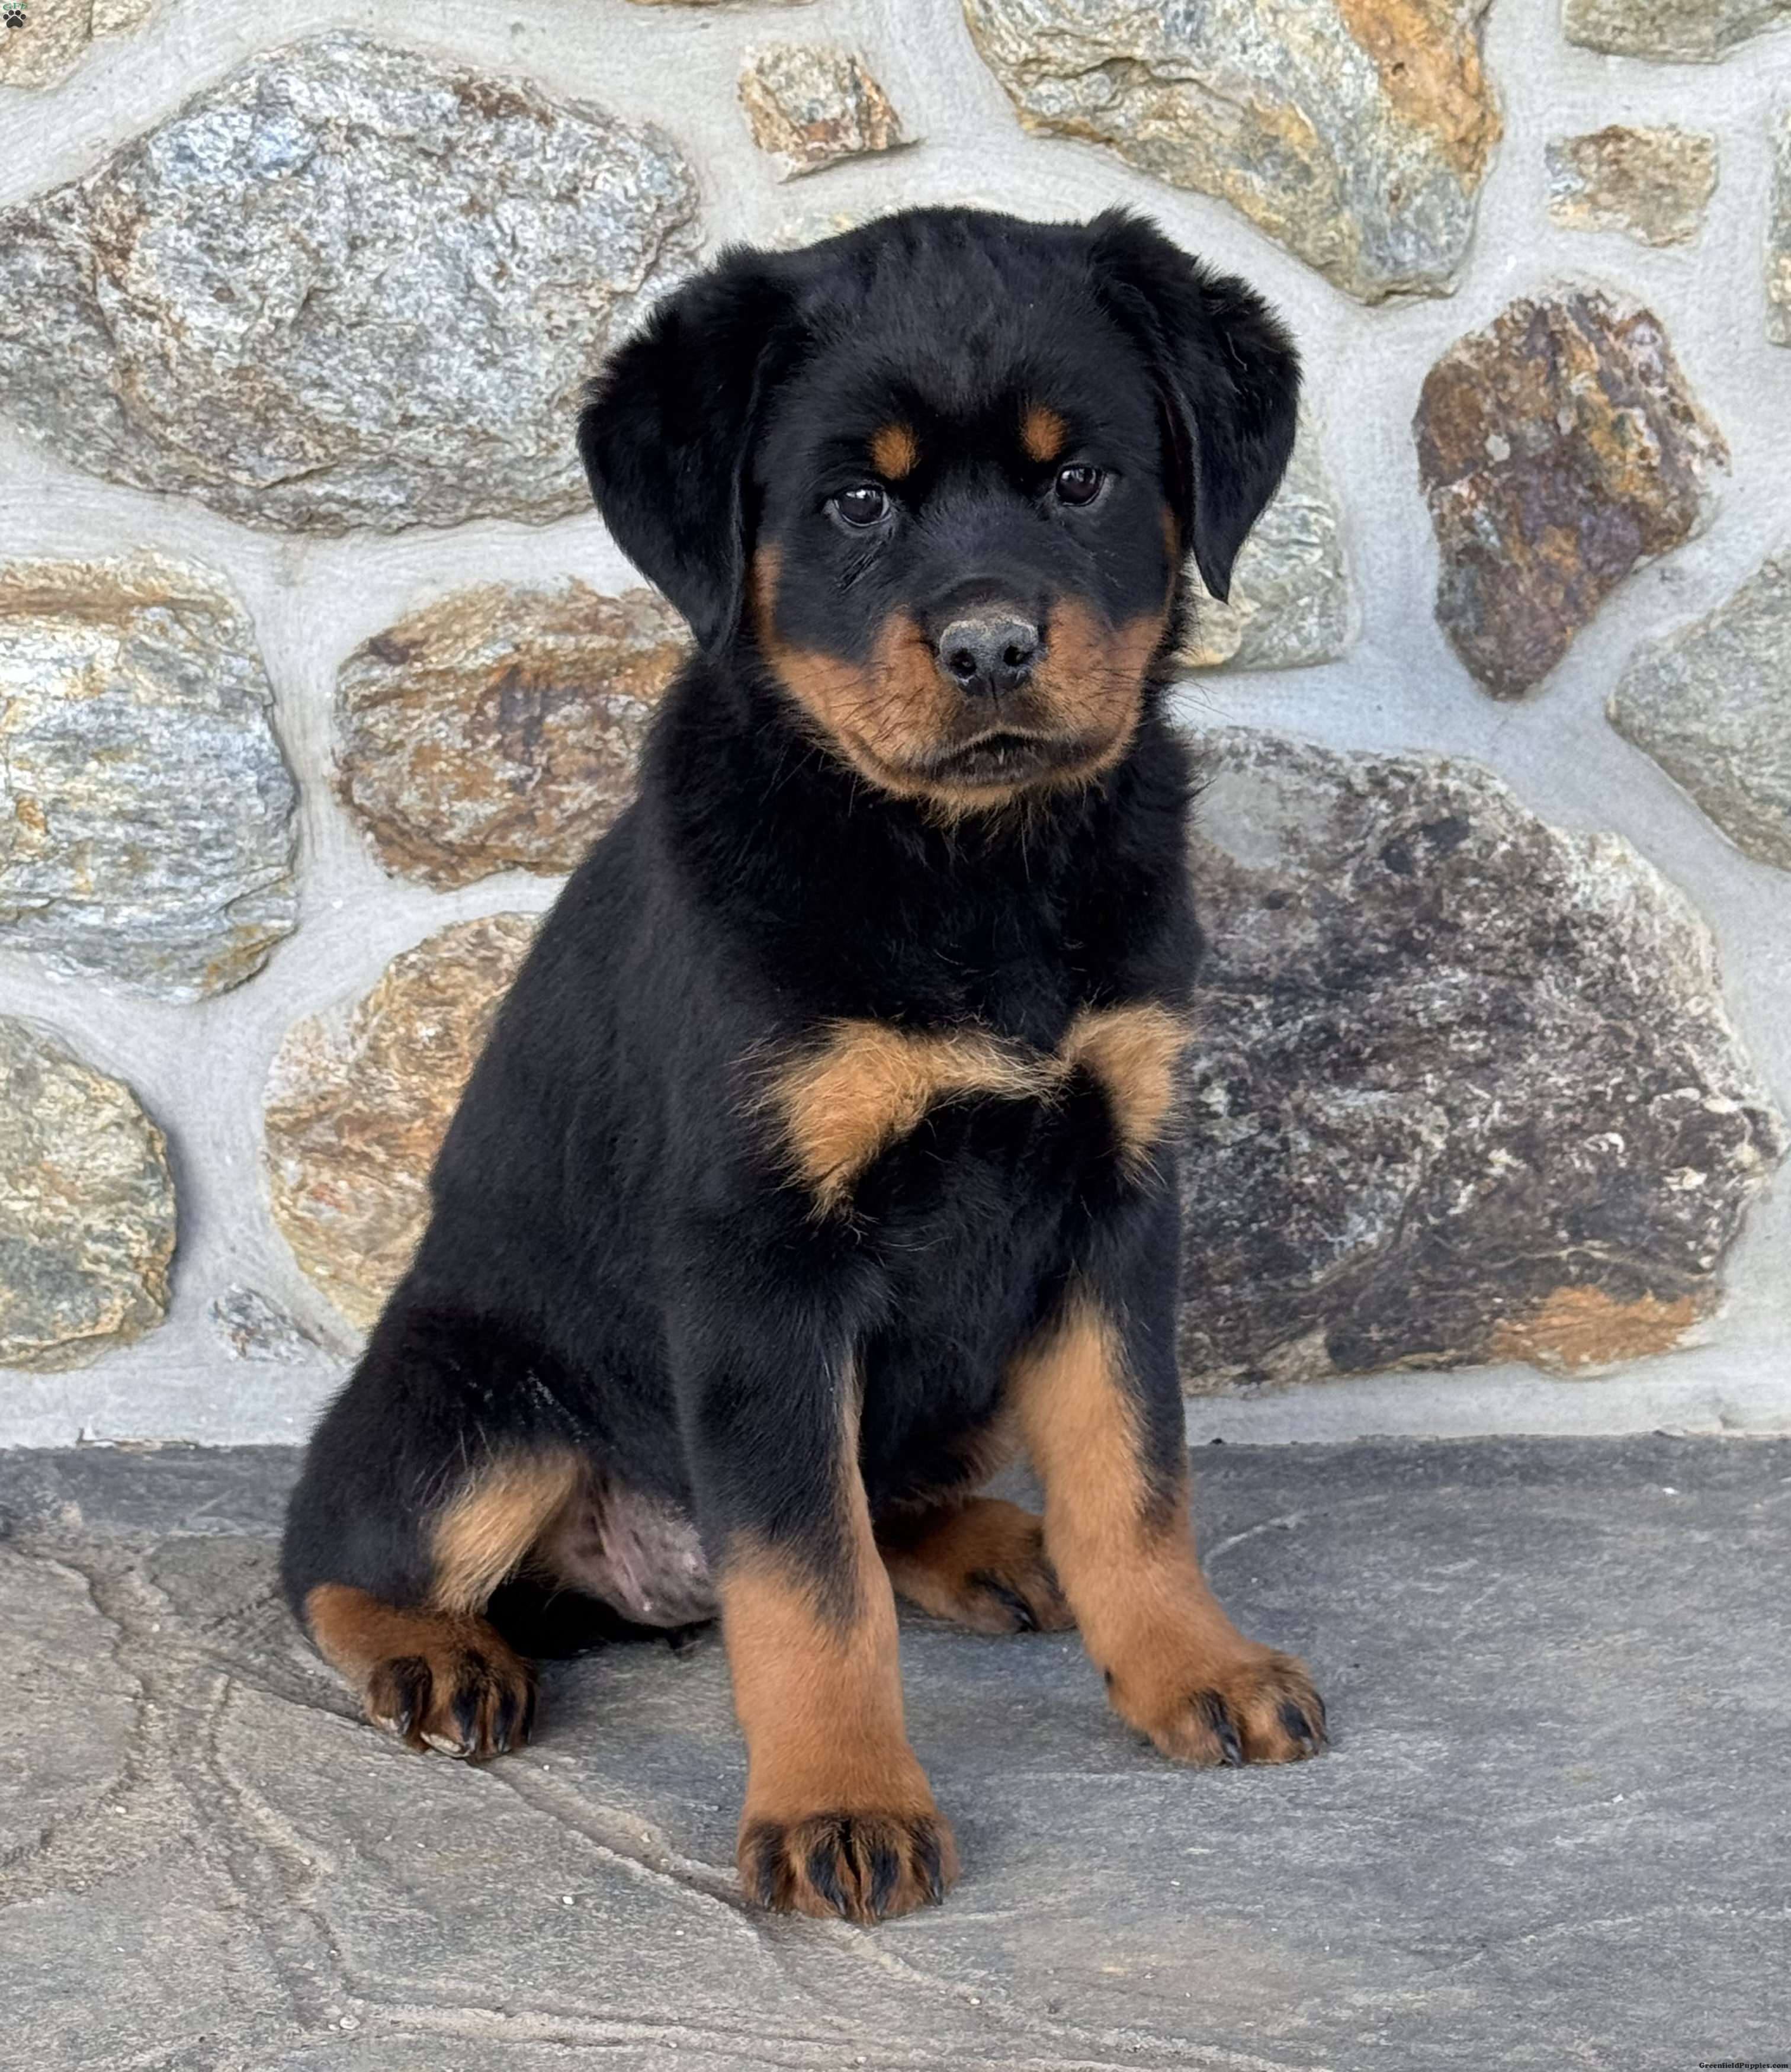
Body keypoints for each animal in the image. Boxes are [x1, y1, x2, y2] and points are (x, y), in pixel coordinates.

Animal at [280, 205, 1326, 1924]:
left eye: (1081, 482)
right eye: (855, 502)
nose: (991, 644)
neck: (964, 865)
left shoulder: (1114, 1195)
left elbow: (1134, 1471)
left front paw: (1192, 1664)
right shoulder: (760, 1258)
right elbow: (808, 1575)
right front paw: (844, 1801)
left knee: (896, 1492)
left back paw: (991, 1544)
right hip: (482, 1408)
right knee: (326, 1550)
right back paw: (438, 1657)